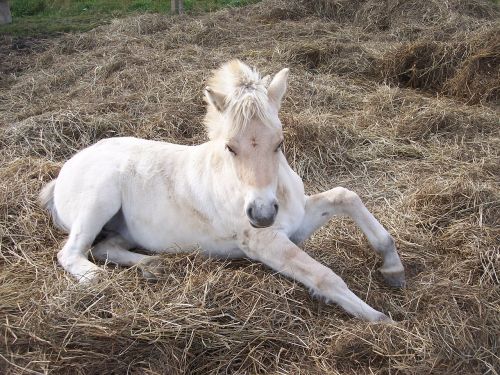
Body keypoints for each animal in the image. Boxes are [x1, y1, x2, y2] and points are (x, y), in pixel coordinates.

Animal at [40, 60, 406, 322]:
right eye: (230, 147)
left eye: (280, 143)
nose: (262, 214)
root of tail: (65, 171)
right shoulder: (263, 242)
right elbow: (324, 277)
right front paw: (381, 320)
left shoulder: (297, 223)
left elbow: (346, 196)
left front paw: (393, 269)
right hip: (99, 199)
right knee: (72, 252)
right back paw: (97, 279)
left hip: (123, 228)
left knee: (106, 247)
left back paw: (153, 266)